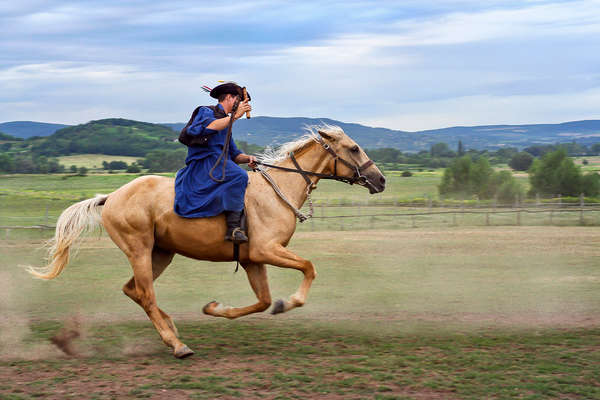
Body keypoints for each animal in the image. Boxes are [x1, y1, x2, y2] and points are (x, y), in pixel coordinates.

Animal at [29, 125, 384, 356]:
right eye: (354, 149)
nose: (380, 180)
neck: (276, 192)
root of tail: (112, 197)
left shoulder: (253, 259)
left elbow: (262, 301)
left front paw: (215, 308)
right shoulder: (267, 250)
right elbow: (308, 268)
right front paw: (290, 302)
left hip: (161, 253)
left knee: (134, 291)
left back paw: (171, 328)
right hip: (140, 250)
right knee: (145, 294)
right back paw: (176, 344)